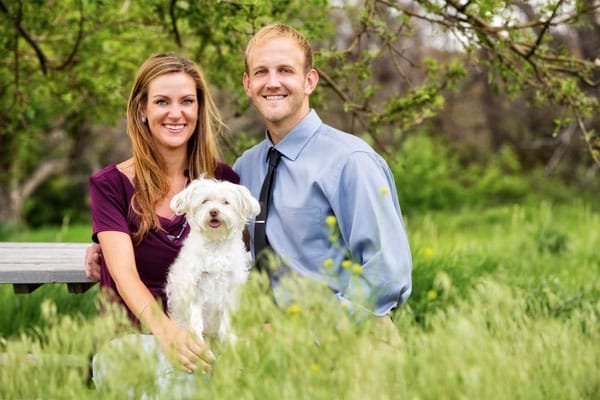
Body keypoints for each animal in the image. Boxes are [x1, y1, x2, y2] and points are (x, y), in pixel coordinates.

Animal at [165, 180, 258, 342]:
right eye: (205, 201)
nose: (213, 211)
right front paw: (196, 339)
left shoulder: (230, 286)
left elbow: (226, 316)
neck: (216, 243)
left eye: (226, 202)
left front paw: (228, 338)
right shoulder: (195, 283)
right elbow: (196, 316)